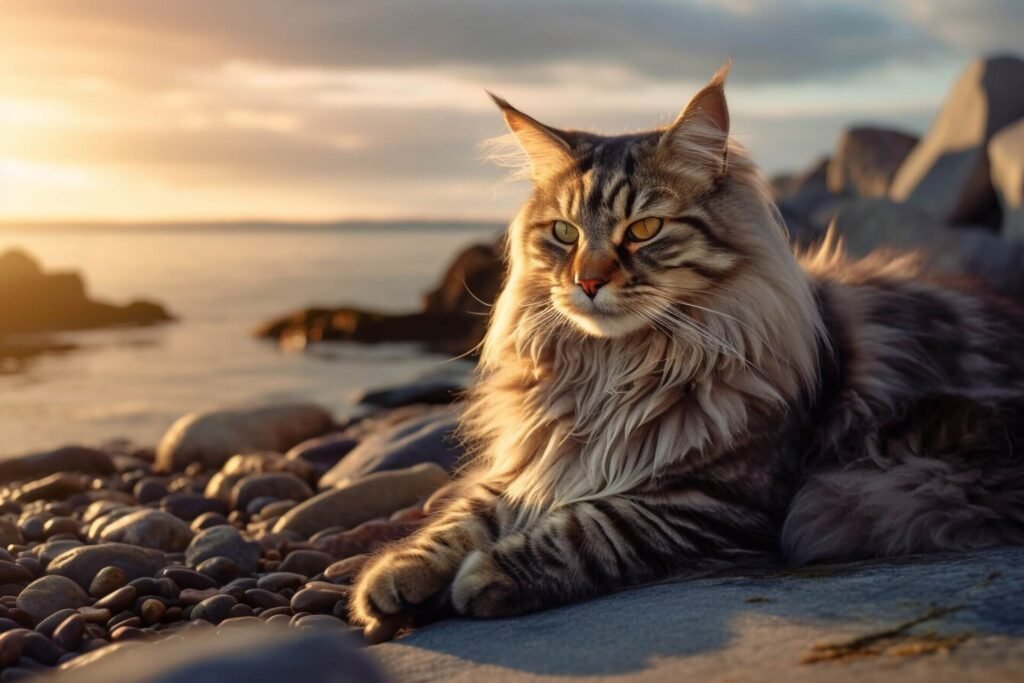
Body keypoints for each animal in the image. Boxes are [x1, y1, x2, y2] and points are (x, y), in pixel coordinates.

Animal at [346, 62, 1024, 643]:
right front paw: (393, 575)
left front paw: (490, 573)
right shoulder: (537, 461)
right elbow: (462, 518)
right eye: (564, 233)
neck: (615, 373)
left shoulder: (712, 500)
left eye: (644, 230)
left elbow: (594, 526)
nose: (587, 281)